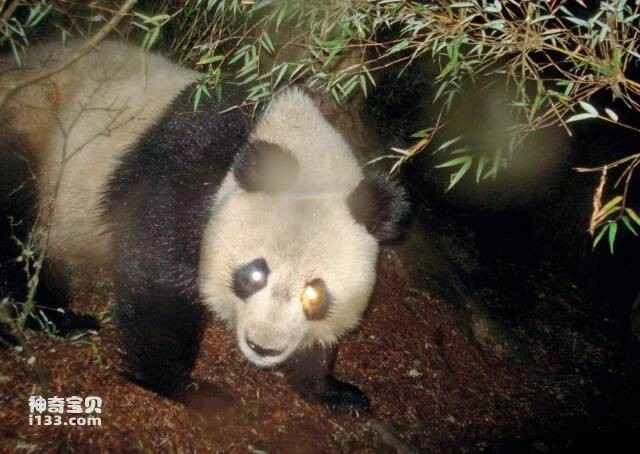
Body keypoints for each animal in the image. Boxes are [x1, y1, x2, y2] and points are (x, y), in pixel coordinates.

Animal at [1, 40, 409, 410]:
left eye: (314, 294)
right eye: (254, 274)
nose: (263, 347)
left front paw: (333, 391)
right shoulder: (190, 165)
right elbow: (157, 273)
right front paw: (188, 389)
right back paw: (54, 319)